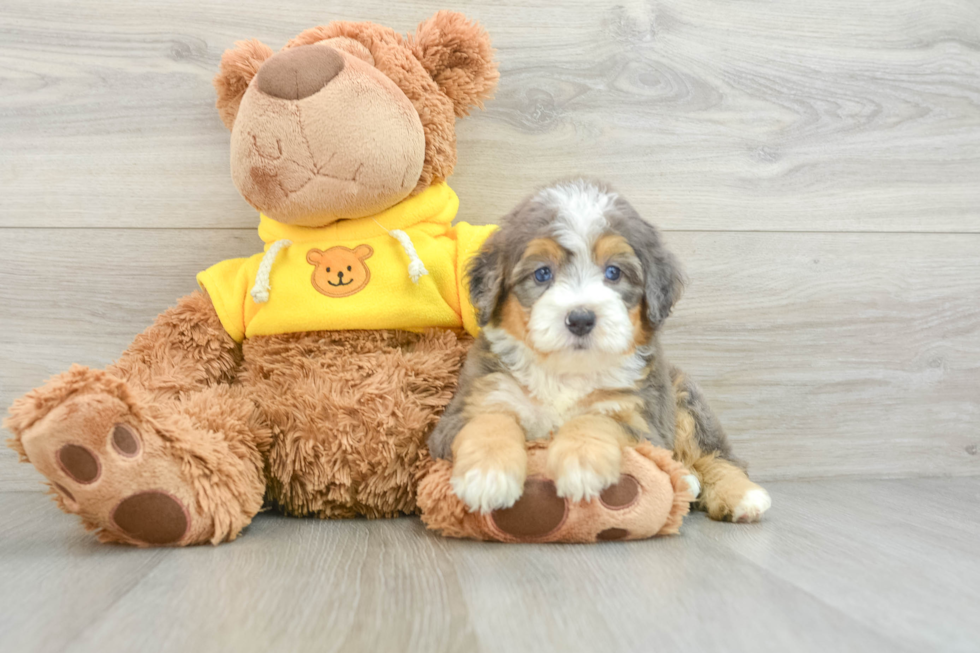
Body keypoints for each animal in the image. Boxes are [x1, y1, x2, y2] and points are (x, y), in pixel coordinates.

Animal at [432, 180, 768, 524]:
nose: (581, 319)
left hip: (685, 402)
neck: (566, 374)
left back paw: (741, 495)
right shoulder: (472, 403)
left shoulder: (641, 420)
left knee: (716, 455)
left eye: (613, 273)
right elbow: (488, 422)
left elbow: (597, 420)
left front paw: (581, 464)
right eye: (542, 274)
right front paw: (487, 476)